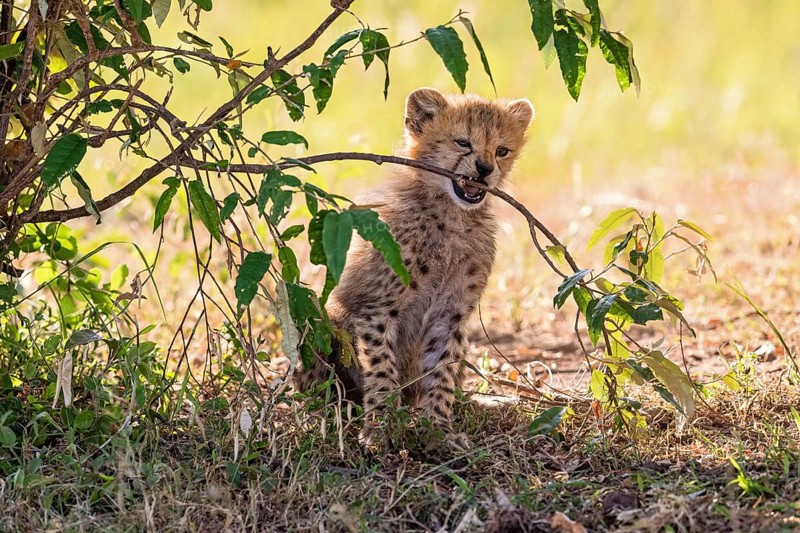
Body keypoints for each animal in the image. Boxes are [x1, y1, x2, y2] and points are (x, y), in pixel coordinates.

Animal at [294, 87, 534, 449]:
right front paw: (379, 428)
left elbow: (442, 370)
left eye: (502, 150)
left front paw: (439, 429)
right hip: (316, 322)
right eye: (463, 142)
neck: (452, 213)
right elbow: (381, 368)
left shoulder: (450, 315)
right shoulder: (377, 308)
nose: (484, 168)